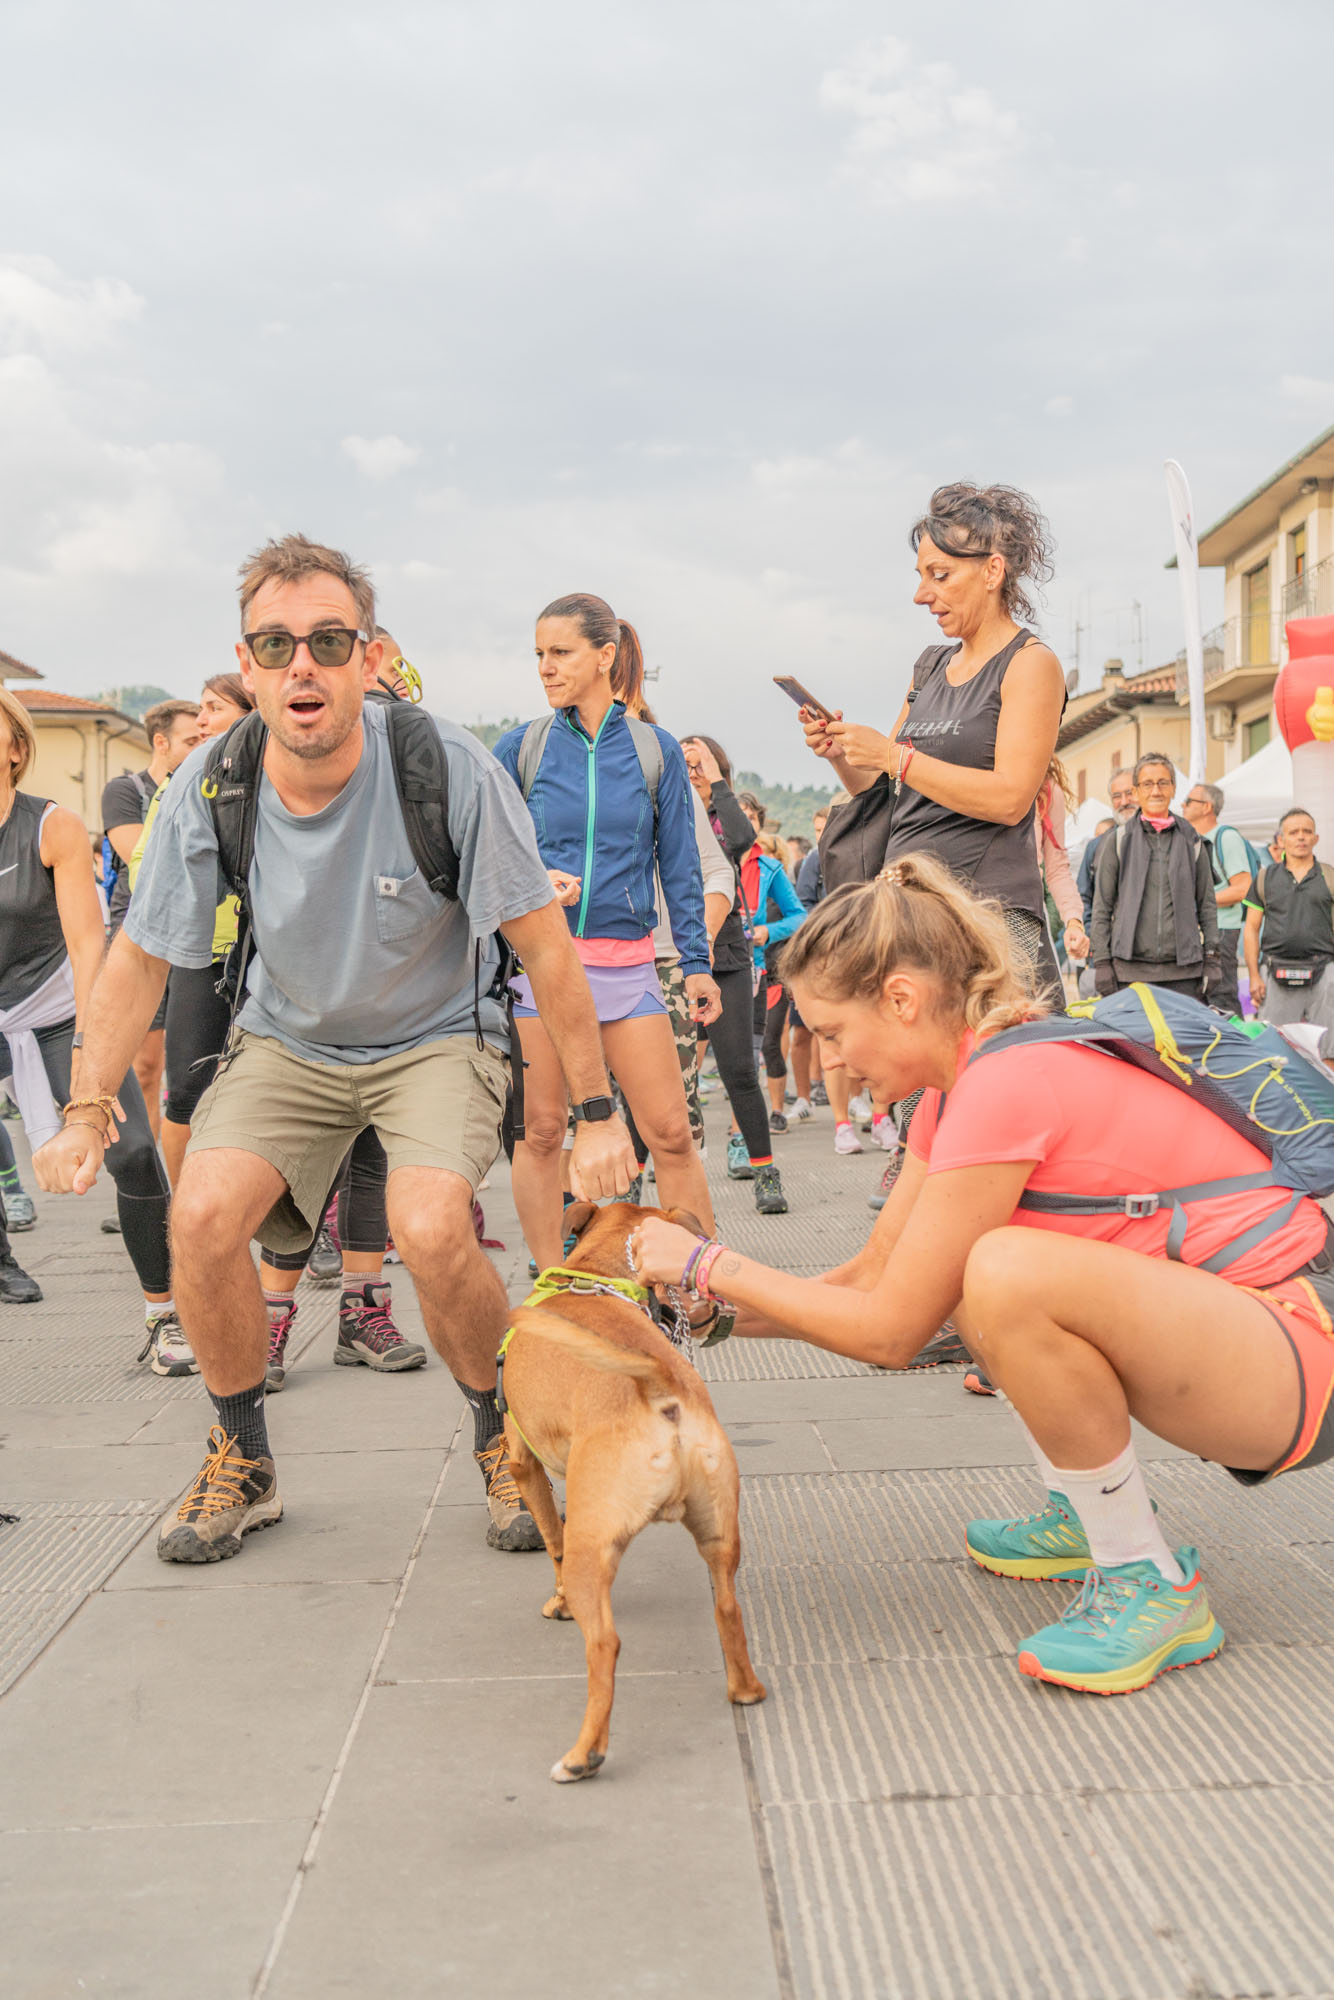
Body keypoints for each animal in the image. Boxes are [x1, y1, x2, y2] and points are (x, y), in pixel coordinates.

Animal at [499, 1200, 766, 1782]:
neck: (596, 1277)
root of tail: (657, 1387)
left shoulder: (523, 1462)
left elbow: (553, 1541)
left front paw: (558, 1603)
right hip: (721, 1536)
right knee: (727, 1610)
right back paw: (746, 1690)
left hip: (592, 1546)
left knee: (604, 1643)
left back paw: (583, 1755)